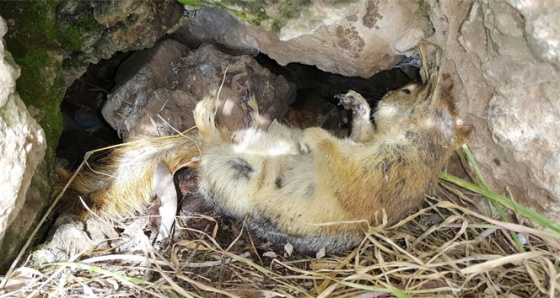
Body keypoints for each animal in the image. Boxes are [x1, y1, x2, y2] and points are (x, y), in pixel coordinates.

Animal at [62, 43, 472, 254]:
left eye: (406, 90)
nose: (386, 93)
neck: (415, 141)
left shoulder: (382, 170)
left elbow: (342, 166)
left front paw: (315, 136)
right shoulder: (368, 145)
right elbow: (357, 135)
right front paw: (355, 104)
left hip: (232, 171)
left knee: (212, 144)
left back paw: (209, 112)